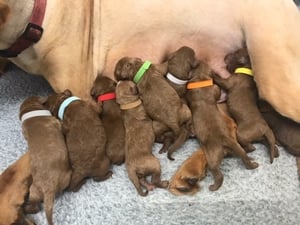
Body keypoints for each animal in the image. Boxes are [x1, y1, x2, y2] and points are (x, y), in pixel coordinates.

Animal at [19, 96, 72, 225]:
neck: (31, 112)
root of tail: (48, 188)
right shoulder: (55, 122)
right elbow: (61, 124)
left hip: (34, 191)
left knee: (35, 207)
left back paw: (25, 209)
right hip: (66, 177)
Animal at [185, 62, 258, 191]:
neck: (201, 77)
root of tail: (226, 140)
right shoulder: (214, 89)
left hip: (213, 157)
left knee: (218, 174)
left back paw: (213, 186)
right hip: (238, 147)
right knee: (245, 155)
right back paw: (252, 162)